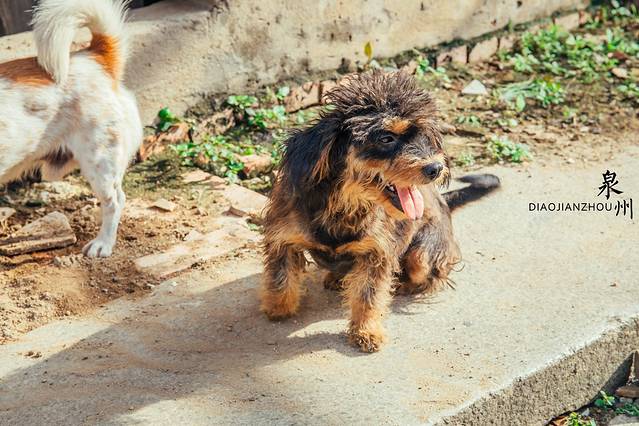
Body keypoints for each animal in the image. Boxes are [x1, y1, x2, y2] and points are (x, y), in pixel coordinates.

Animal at [260, 71, 499, 352]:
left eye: (424, 136)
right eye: (387, 138)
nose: (436, 168)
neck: (343, 205)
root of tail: (443, 203)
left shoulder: (378, 253)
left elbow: (369, 295)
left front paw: (366, 331)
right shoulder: (282, 239)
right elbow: (280, 277)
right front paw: (278, 308)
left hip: (422, 255)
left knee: (429, 272)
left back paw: (404, 284)